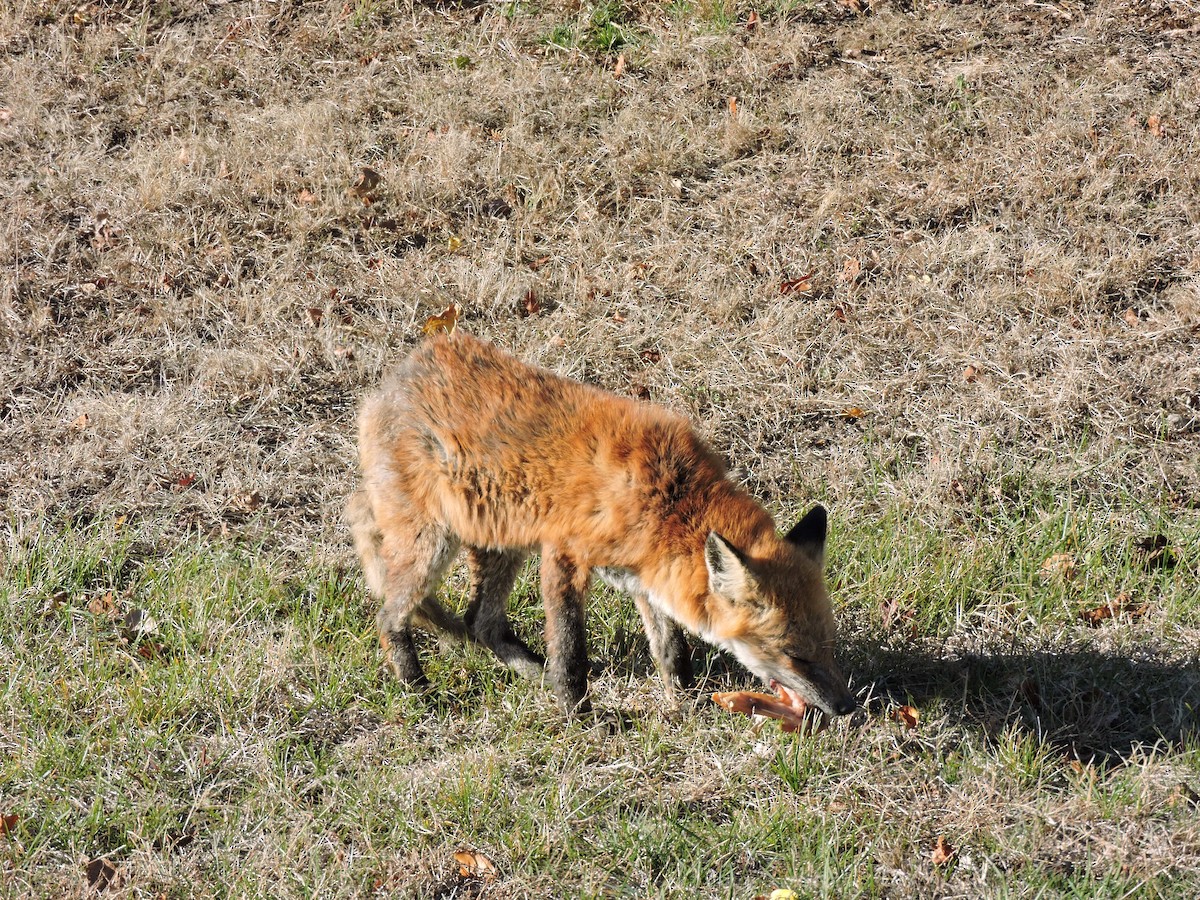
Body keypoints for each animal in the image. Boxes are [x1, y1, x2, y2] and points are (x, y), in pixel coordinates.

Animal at [347, 332, 856, 720]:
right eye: (796, 656)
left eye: (831, 646)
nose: (848, 707)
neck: (668, 498)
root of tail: (390, 382)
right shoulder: (563, 553)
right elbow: (571, 651)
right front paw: (580, 716)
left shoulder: (648, 574)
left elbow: (671, 650)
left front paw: (685, 704)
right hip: (432, 546)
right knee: (390, 615)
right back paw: (418, 689)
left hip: (500, 543)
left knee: (481, 622)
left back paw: (531, 674)